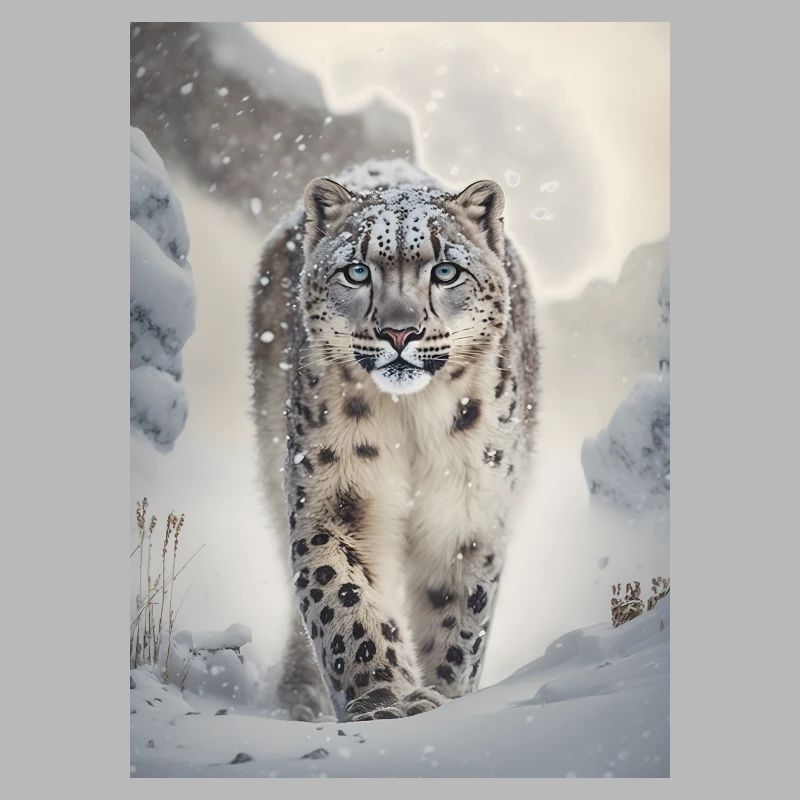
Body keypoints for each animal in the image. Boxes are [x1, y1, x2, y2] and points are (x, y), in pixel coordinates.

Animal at [249, 160, 539, 722]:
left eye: (445, 271)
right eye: (357, 271)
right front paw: (384, 702)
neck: (410, 422)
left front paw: (445, 696)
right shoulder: (332, 500)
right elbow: (341, 598)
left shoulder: (468, 507)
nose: (399, 331)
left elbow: (459, 614)